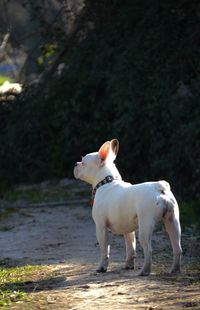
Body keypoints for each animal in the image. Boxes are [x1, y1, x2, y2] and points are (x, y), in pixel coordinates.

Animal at [74, 139, 183, 274]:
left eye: (83, 163)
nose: (76, 164)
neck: (106, 182)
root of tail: (159, 187)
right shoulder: (128, 230)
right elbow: (131, 248)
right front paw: (129, 265)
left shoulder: (100, 227)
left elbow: (105, 250)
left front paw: (101, 267)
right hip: (173, 221)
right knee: (177, 248)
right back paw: (175, 270)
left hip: (145, 225)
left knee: (148, 250)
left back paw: (144, 271)